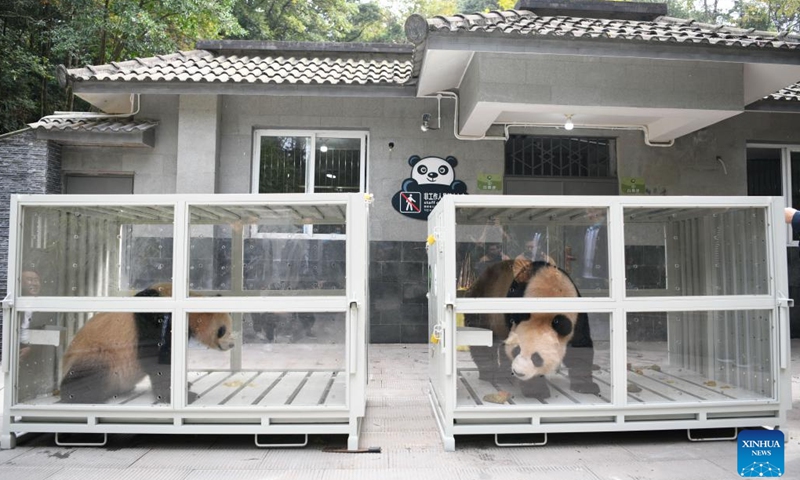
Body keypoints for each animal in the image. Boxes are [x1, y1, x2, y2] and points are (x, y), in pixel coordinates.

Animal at [60, 283, 234, 404]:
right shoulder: (155, 319)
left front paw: (186, 384)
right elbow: (155, 359)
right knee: (93, 371)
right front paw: (178, 395)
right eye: (222, 330)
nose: (231, 344)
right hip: (95, 353)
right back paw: (84, 396)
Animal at [464, 258, 599, 399]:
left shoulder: (577, 316)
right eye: (517, 351)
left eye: (537, 358)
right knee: (482, 345)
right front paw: (537, 390)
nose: (519, 373)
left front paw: (586, 386)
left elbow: (580, 347)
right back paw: (489, 375)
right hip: (483, 308)